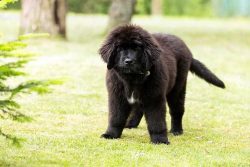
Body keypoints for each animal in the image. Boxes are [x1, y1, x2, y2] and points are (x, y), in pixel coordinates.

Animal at [98, 24, 226, 144]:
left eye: (137, 48)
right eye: (119, 48)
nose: (128, 61)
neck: (132, 79)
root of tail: (188, 51)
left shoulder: (155, 97)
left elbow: (156, 121)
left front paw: (160, 140)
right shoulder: (117, 96)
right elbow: (116, 117)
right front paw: (111, 134)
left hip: (178, 87)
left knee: (177, 110)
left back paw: (176, 130)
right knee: (139, 108)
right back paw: (131, 124)